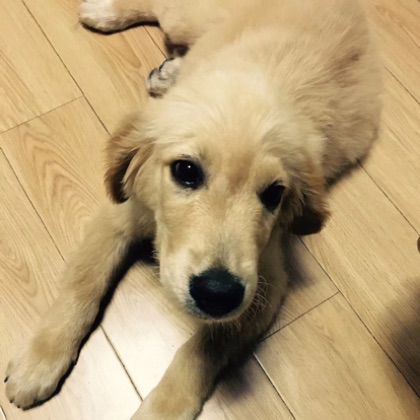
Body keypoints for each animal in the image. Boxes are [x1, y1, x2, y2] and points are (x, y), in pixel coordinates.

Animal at [5, 0, 382, 418]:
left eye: (274, 194)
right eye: (186, 171)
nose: (217, 293)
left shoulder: (265, 278)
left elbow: (203, 349)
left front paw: (162, 409)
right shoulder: (123, 212)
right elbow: (83, 282)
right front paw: (39, 360)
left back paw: (166, 72)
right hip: (190, 17)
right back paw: (104, 14)